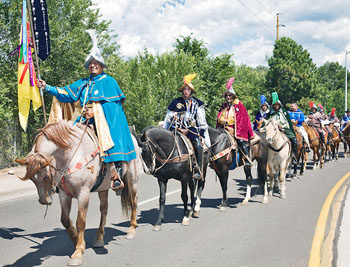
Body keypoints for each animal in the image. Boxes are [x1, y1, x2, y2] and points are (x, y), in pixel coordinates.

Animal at [15, 122, 141, 267]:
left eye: (46, 176)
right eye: (32, 179)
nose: (44, 200)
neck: (71, 156)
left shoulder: (83, 194)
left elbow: (80, 222)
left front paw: (78, 252)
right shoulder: (64, 194)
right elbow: (65, 220)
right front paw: (76, 240)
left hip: (132, 178)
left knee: (133, 201)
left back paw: (132, 229)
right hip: (103, 188)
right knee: (104, 210)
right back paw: (99, 238)